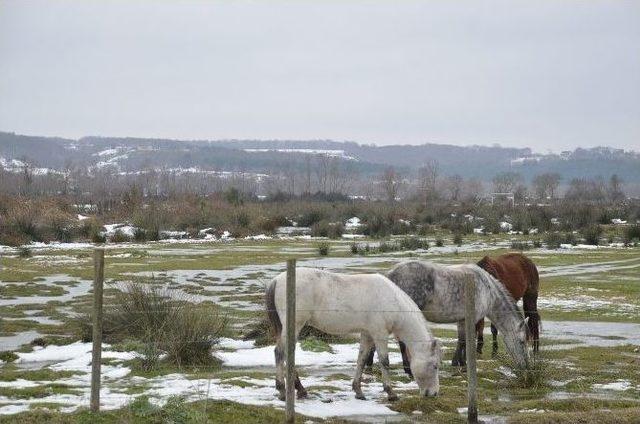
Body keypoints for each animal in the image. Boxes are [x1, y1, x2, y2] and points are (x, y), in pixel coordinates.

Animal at [264, 266, 440, 402]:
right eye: (435, 366)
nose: (433, 393)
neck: (392, 300)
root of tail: (276, 280)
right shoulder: (379, 334)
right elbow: (384, 361)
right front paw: (391, 393)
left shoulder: (367, 334)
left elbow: (361, 359)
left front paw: (358, 391)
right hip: (294, 326)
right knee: (281, 352)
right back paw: (283, 391)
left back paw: (299, 390)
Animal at [384, 260, 528, 370]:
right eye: (522, 342)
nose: (526, 366)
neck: (487, 291)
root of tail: (391, 274)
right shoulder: (471, 320)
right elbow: (465, 341)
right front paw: (463, 364)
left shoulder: (462, 320)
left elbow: (461, 340)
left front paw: (457, 362)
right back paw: (407, 369)